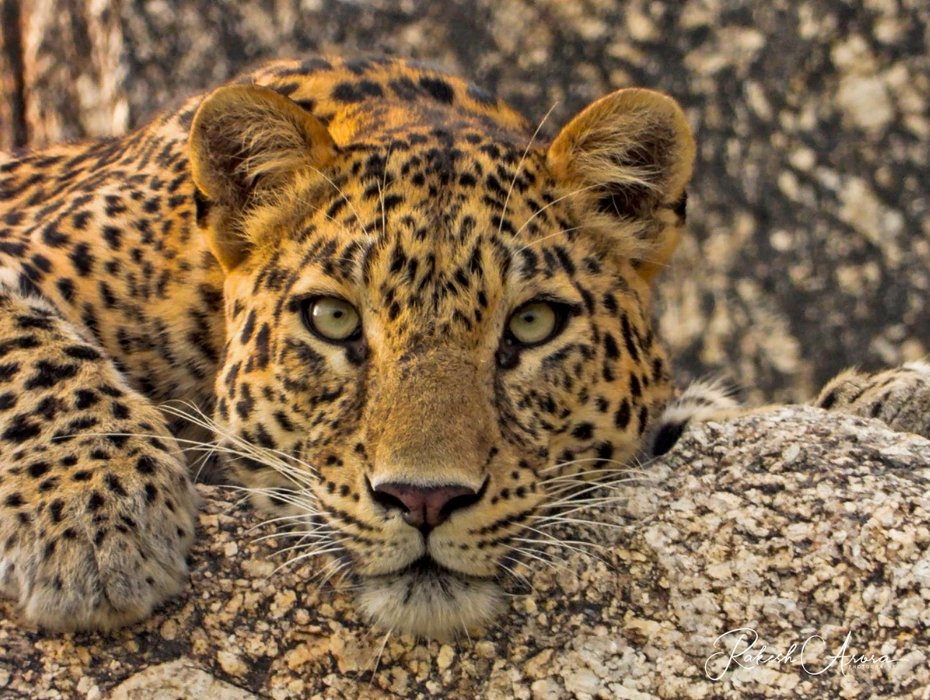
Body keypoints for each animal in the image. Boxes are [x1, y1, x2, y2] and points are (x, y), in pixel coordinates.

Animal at [0, 55, 926, 639]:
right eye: (333, 320)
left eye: (532, 325)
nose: (423, 500)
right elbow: (32, 350)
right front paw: (97, 527)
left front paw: (890, 396)